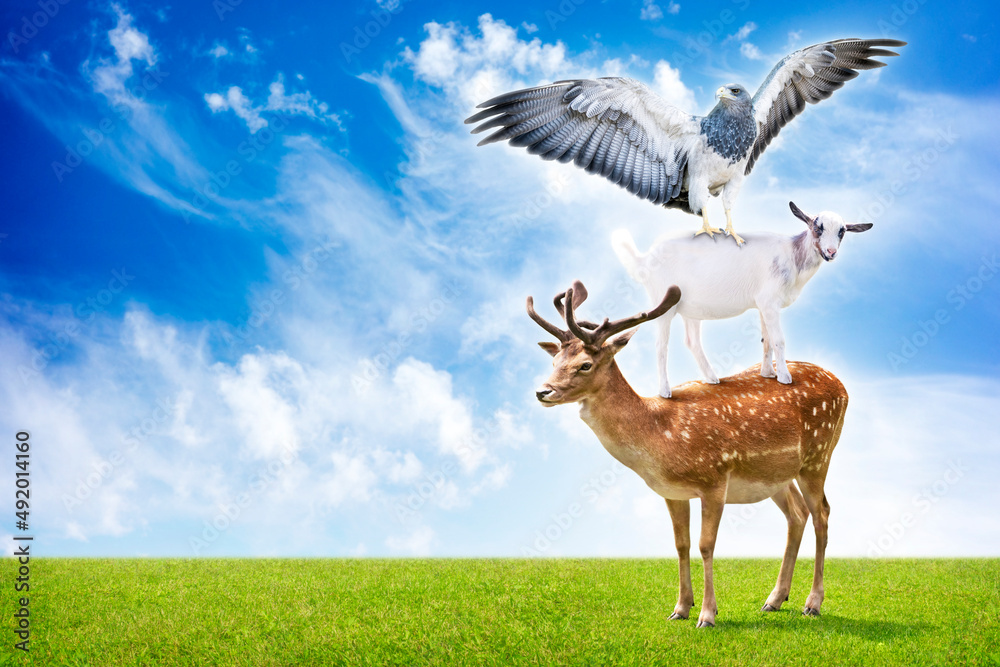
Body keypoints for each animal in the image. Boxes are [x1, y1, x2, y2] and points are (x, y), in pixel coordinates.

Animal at [528, 280, 849, 627]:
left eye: (584, 365)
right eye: (554, 362)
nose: (542, 391)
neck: (660, 435)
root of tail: (842, 386)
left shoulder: (715, 479)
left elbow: (706, 546)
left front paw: (708, 614)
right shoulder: (672, 492)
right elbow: (681, 545)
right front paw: (681, 608)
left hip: (818, 456)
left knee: (822, 514)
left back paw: (812, 603)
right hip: (777, 476)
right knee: (797, 514)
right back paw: (774, 600)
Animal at [612, 201, 872, 397]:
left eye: (842, 231)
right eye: (817, 228)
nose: (831, 252)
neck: (792, 256)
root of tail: (644, 258)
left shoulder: (763, 306)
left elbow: (766, 340)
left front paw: (768, 373)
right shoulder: (770, 303)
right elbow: (779, 340)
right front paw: (785, 377)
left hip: (690, 308)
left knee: (692, 341)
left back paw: (712, 378)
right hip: (663, 302)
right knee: (661, 346)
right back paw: (665, 391)